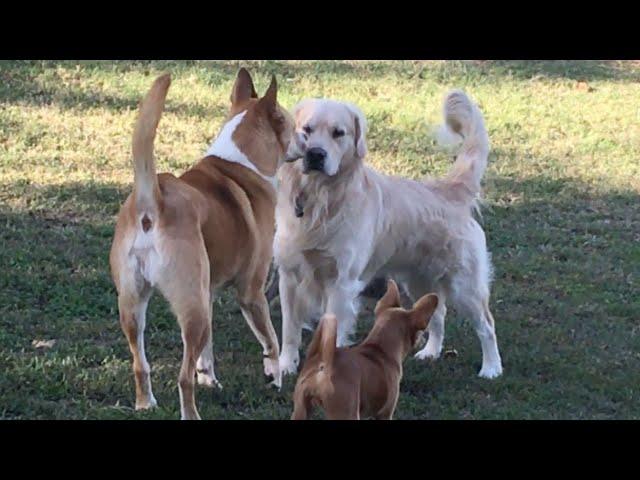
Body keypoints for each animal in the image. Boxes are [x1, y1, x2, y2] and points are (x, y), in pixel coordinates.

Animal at [111, 68, 296, 420]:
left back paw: (146, 403)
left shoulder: (207, 291)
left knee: (141, 364)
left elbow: (206, 350)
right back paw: (190, 413)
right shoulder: (251, 292)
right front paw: (275, 376)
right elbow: (272, 341)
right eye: (294, 126)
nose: (310, 148)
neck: (240, 161)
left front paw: (209, 378)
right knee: (183, 378)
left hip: (135, 305)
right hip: (191, 307)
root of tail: (151, 203)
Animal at [272, 91, 502, 378]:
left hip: (465, 284)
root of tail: (450, 189)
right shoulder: (289, 276)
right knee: (437, 314)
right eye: (307, 129)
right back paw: (430, 353)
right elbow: (289, 330)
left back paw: (491, 368)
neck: (320, 199)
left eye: (339, 133)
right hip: (419, 279)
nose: (316, 154)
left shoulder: (341, 282)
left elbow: (330, 332)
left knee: (486, 324)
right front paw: (285, 366)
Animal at [292, 280, 438, 418]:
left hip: (300, 411)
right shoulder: (385, 414)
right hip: (346, 412)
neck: (379, 348)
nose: (422, 340)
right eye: (420, 332)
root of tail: (322, 366)